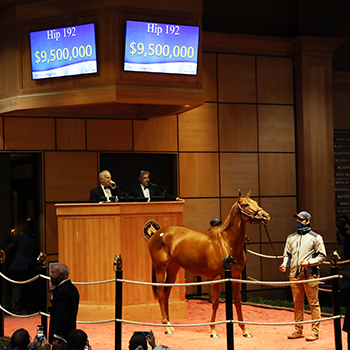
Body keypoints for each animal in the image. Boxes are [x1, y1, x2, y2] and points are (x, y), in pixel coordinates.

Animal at [148, 190, 270, 338]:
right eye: (246, 204)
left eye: (256, 202)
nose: (265, 216)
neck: (226, 243)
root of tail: (158, 233)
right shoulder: (217, 277)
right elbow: (215, 303)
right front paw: (213, 331)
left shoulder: (236, 277)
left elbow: (238, 303)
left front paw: (245, 331)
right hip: (159, 268)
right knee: (160, 294)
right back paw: (166, 327)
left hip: (173, 270)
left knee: (166, 293)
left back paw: (170, 325)